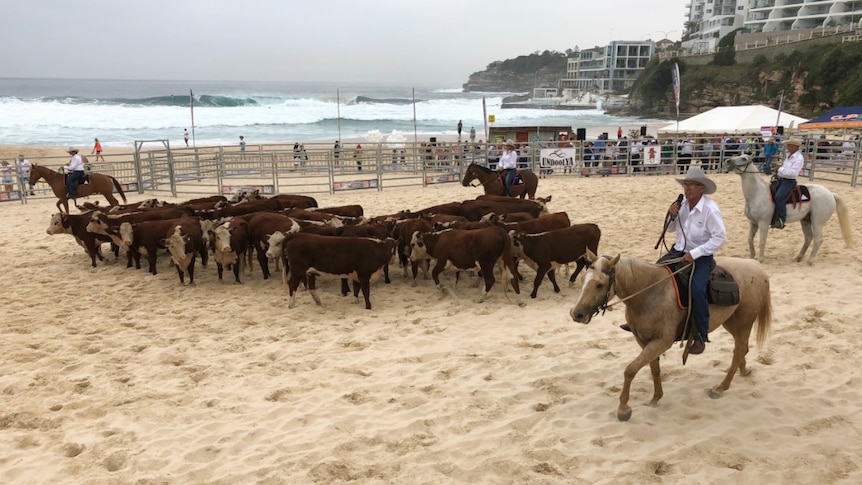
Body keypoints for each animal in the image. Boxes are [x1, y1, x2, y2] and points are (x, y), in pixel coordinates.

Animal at [572, 250, 772, 420]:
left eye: (599, 284)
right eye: (582, 279)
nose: (576, 314)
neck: (648, 293)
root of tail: (758, 268)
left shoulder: (662, 341)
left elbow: (630, 370)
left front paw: (623, 409)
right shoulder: (644, 341)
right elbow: (653, 368)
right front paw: (655, 397)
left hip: (743, 323)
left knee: (738, 351)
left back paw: (721, 388)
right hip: (731, 323)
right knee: (742, 348)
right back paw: (744, 371)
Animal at [724, 156, 852, 264]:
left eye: (744, 158)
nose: (727, 161)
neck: (757, 193)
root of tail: (831, 194)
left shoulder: (763, 223)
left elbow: (762, 241)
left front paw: (760, 259)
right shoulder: (753, 222)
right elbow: (750, 239)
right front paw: (751, 257)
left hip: (818, 222)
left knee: (818, 239)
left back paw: (810, 260)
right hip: (805, 220)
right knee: (808, 238)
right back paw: (798, 257)